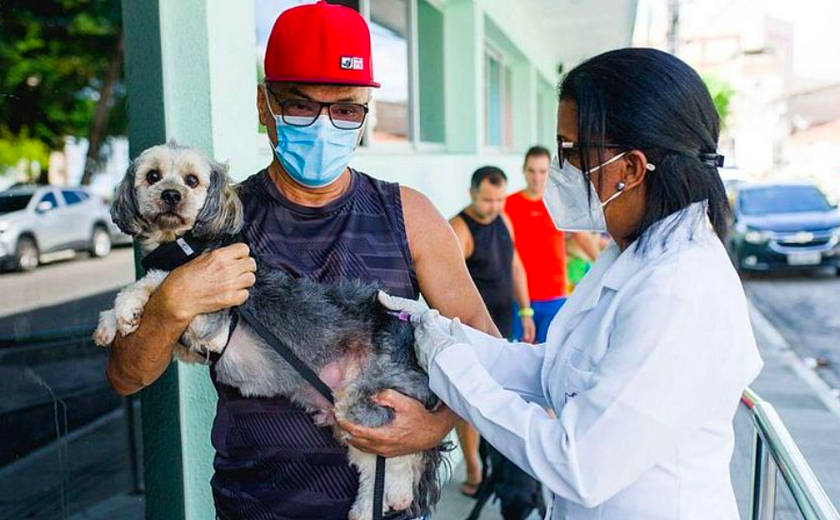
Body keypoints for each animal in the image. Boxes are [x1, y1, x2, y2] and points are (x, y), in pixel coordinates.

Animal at [93, 141, 446, 520]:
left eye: (191, 180)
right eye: (153, 176)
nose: (171, 195)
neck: (185, 246)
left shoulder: (211, 322)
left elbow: (161, 279)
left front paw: (126, 303)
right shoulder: (192, 344)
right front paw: (111, 322)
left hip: (364, 401)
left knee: (401, 455)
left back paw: (386, 499)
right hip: (347, 416)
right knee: (378, 464)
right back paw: (371, 506)